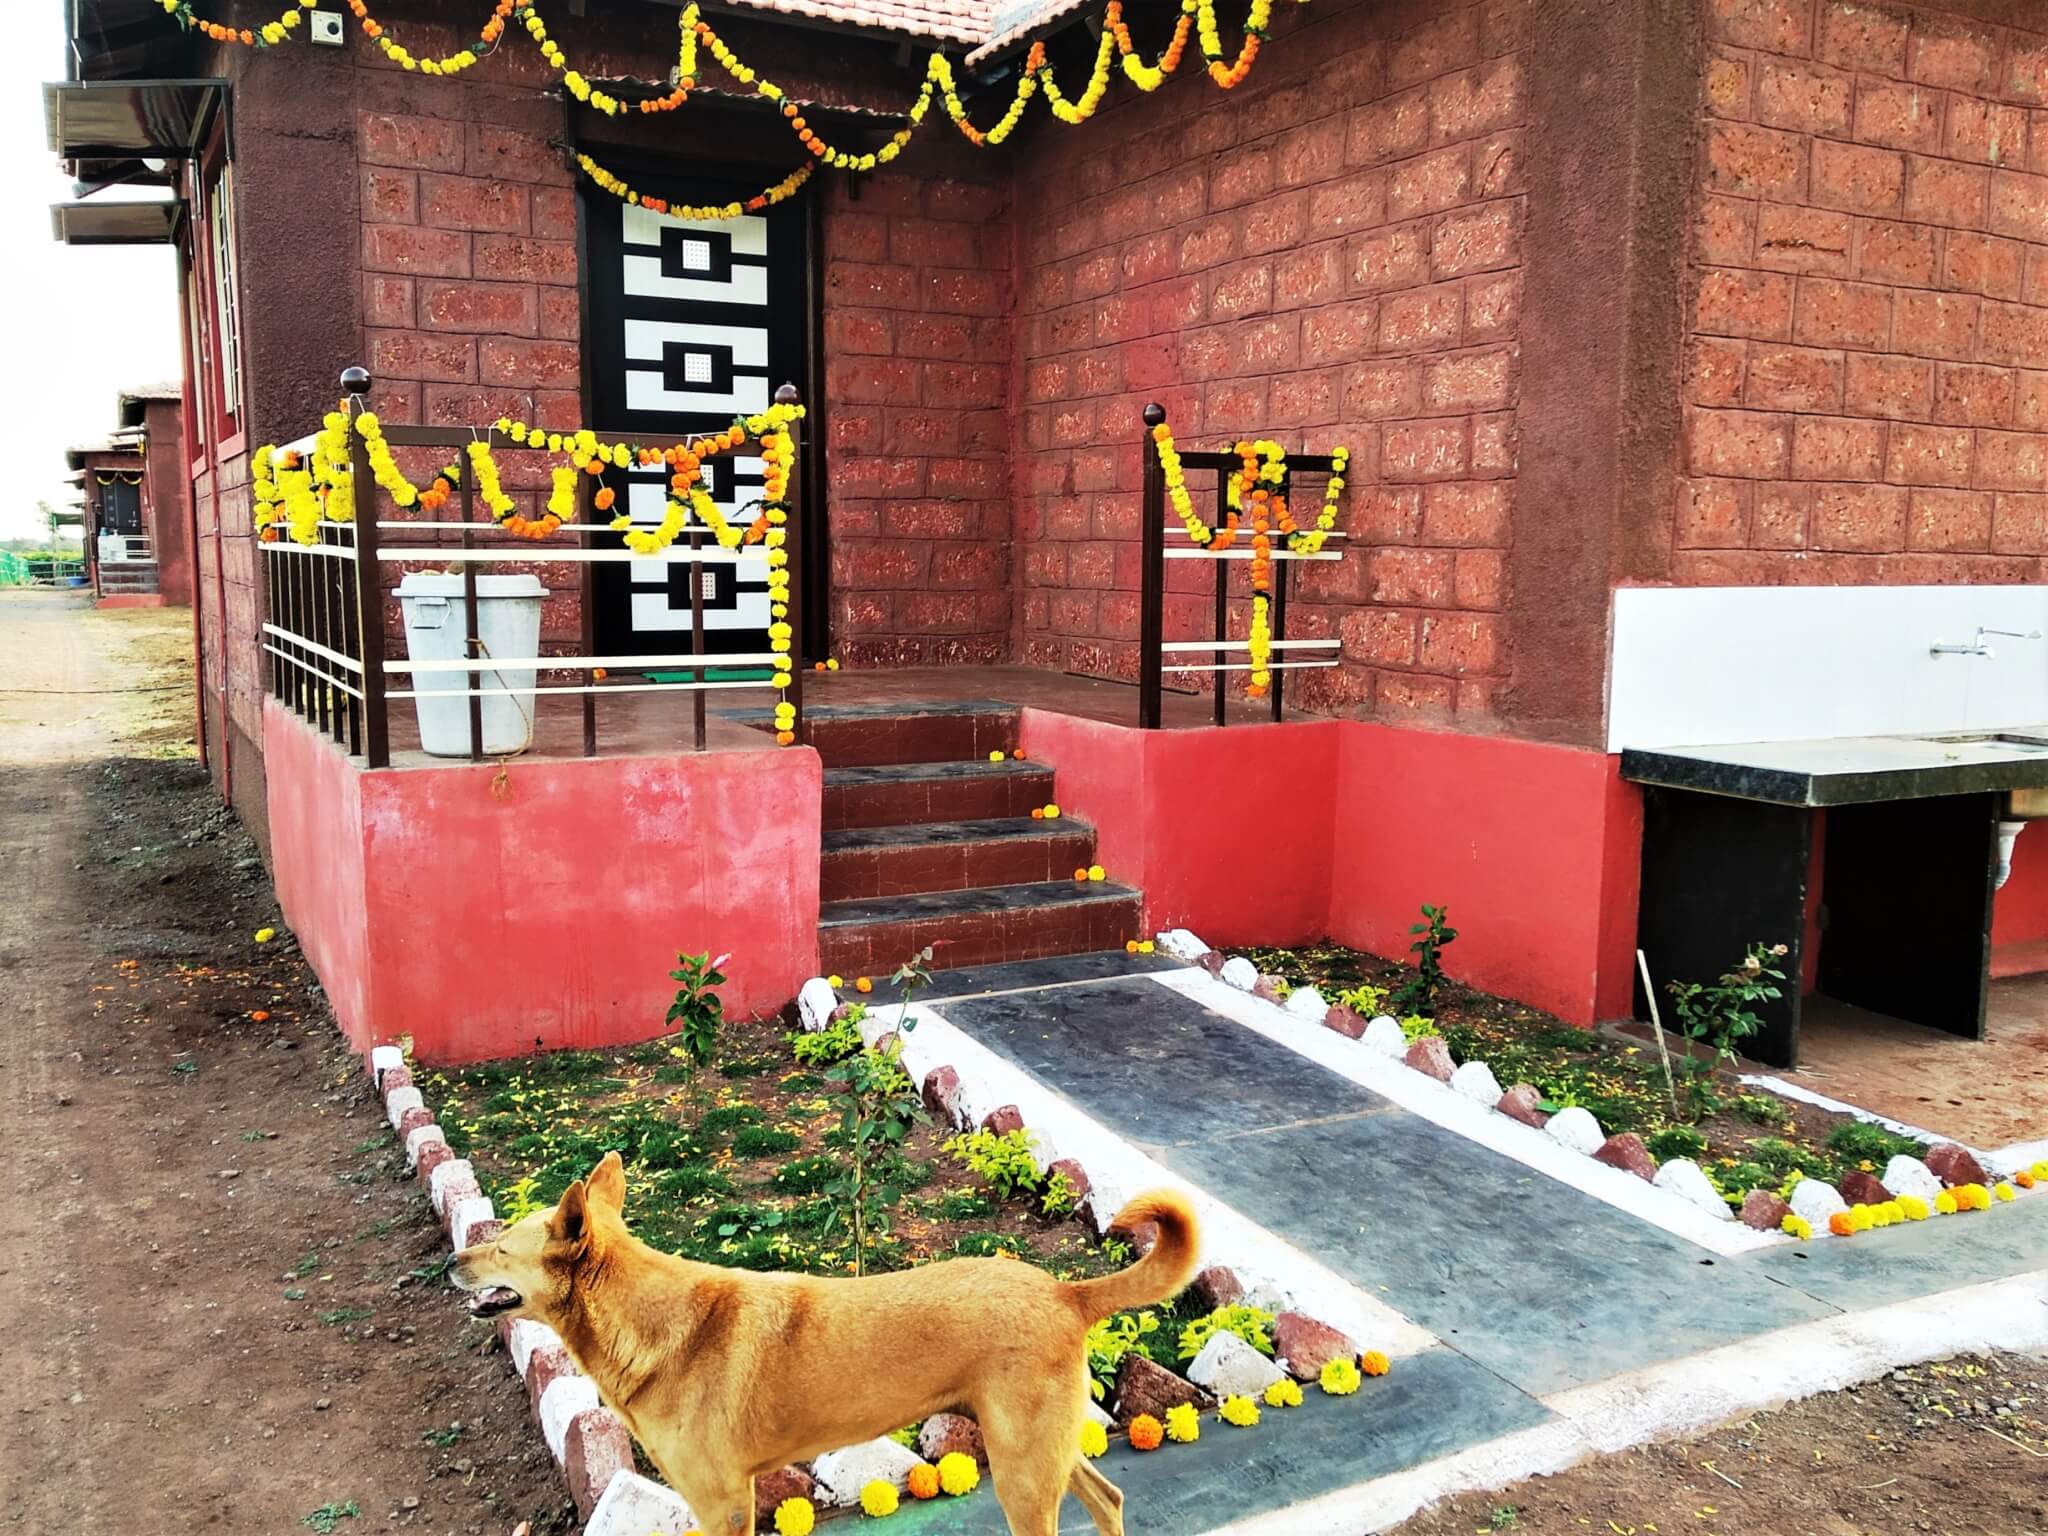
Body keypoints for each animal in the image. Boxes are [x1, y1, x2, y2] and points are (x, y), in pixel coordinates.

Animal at [452, 1155, 1196, 1536]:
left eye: (501, 1247)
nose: (451, 1262)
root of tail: (1065, 1292)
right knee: (1108, 1499)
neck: (648, 1320)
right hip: (1040, 1453)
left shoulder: (722, 1504)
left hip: (1020, 1472)